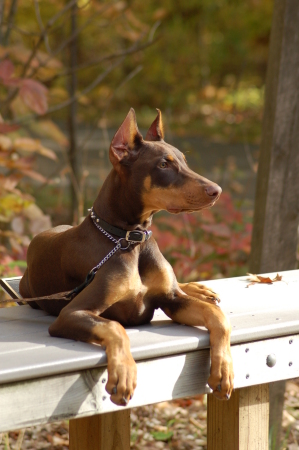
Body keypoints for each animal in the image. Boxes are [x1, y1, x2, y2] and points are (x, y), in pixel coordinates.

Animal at [19, 110, 234, 408]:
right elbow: (115, 327)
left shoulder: (170, 299)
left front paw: (223, 370)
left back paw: (199, 289)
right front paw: (123, 374)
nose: (217, 190)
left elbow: (217, 316)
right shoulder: (71, 314)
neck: (130, 240)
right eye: (163, 164)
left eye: (184, 160)